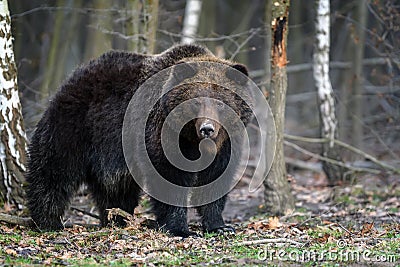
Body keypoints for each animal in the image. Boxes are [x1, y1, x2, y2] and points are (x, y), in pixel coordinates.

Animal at [26, 44, 253, 239]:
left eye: (221, 103)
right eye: (195, 101)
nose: (207, 129)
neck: (194, 141)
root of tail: (74, 75)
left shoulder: (226, 144)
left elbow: (215, 179)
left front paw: (220, 226)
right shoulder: (162, 134)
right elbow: (169, 177)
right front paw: (180, 229)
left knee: (116, 188)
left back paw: (116, 219)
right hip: (76, 125)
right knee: (53, 171)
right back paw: (47, 221)